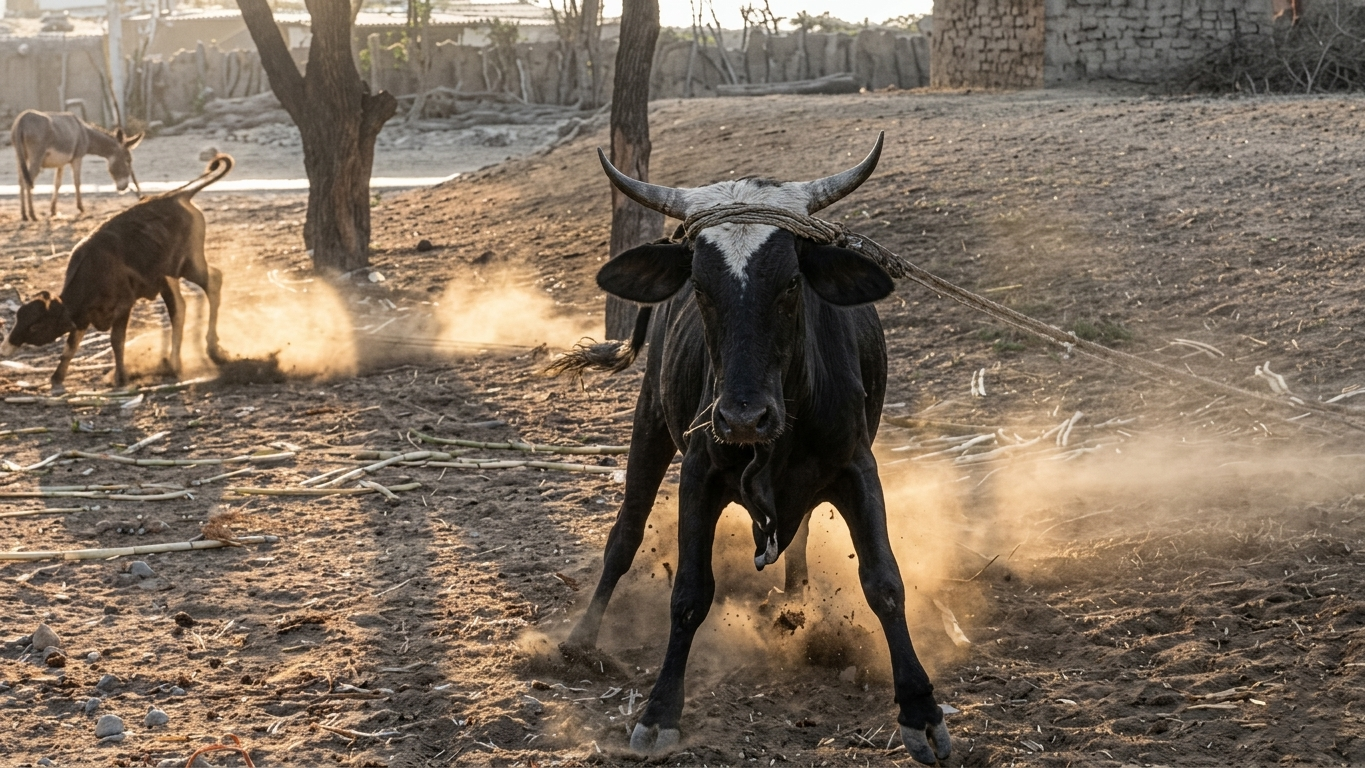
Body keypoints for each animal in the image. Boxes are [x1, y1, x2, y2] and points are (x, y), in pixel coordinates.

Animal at [0, 155, 234, 393]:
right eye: (19, 317)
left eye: (35, 325)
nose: (6, 346)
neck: (94, 270)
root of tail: (177, 196)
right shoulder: (83, 316)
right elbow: (70, 346)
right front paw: (57, 377)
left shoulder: (124, 306)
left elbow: (116, 340)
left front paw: (121, 378)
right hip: (168, 278)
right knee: (180, 307)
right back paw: (174, 361)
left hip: (188, 265)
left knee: (212, 282)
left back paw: (209, 347)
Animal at [12, 110, 143, 221]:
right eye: (128, 160)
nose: (124, 188)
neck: (85, 133)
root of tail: (22, 120)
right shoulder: (77, 158)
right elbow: (77, 182)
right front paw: (81, 208)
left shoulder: (61, 163)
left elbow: (57, 184)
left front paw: (53, 210)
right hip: (36, 157)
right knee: (28, 181)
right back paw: (32, 214)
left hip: (20, 157)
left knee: (21, 181)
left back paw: (24, 215)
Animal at [552, 134, 951, 764]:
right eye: (701, 286)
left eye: (790, 283)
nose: (742, 417)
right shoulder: (698, 472)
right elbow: (690, 592)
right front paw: (659, 711)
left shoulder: (857, 467)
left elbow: (884, 583)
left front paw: (921, 710)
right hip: (650, 421)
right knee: (626, 533)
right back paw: (583, 639)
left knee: (800, 533)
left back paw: (795, 602)